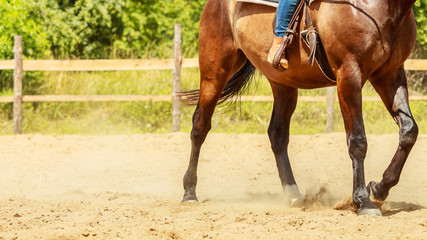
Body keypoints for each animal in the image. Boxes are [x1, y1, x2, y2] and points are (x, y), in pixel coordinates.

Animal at [181, 0, 418, 216]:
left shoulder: (389, 74)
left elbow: (409, 131)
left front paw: (378, 188)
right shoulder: (349, 75)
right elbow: (358, 141)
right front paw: (363, 201)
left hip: (282, 83)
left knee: (276, 133)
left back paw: (293, 194)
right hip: (215, 71)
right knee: (199, 126)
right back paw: (189, 193)